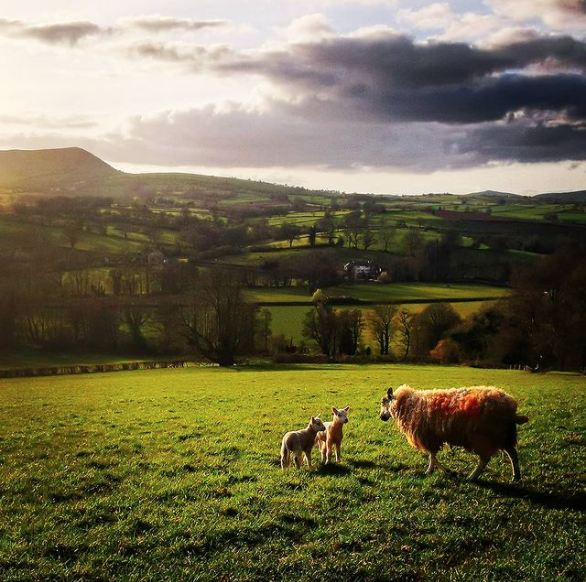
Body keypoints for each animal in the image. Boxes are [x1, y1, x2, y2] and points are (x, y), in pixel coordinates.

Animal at [378, 386, 528, 482]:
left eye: (384, 402)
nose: (381, 417)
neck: (409, 404)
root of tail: (510, 410)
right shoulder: (434, 436)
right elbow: (433, 456)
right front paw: (444, 471)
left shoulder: (428, 436)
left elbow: (432, 456)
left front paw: (432, 471)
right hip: (503, 435)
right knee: (512, 453)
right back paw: (516, 477)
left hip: (483, 437)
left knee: (485, 459)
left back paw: (472, 477)